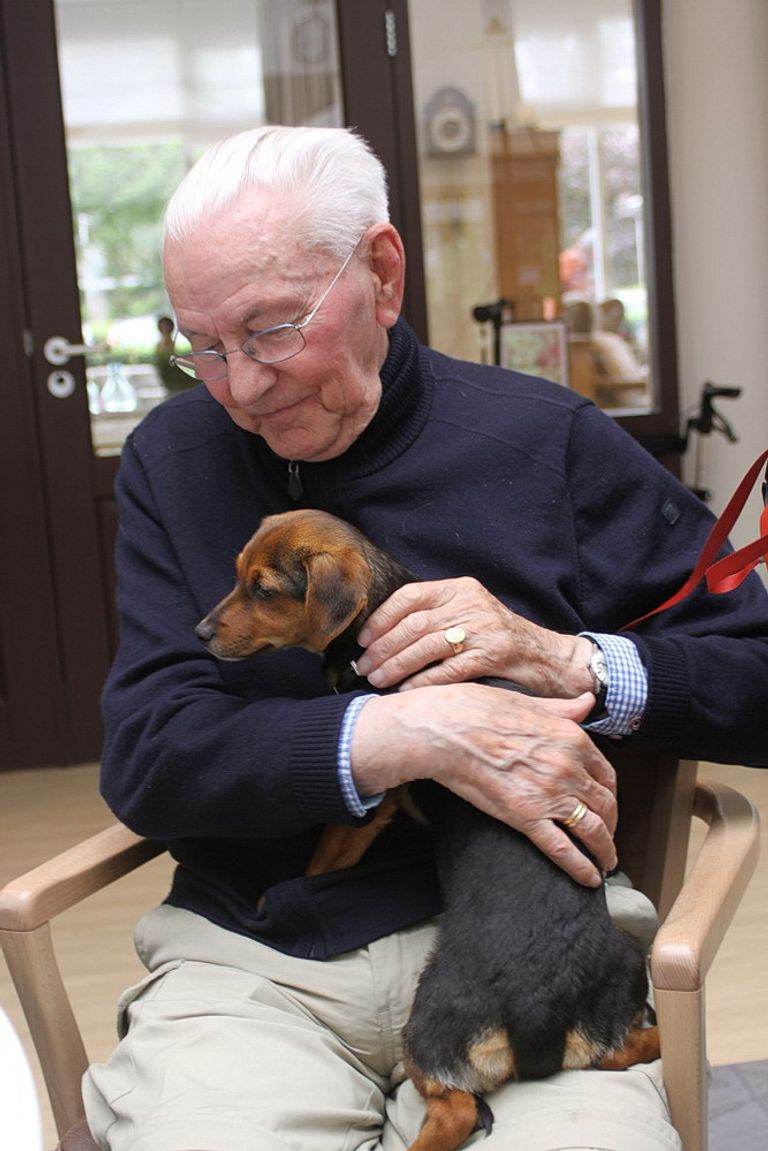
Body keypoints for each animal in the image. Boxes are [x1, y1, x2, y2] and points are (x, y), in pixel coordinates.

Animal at [196, 511, 663, 1151]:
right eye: (237, 574)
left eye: (263, 589)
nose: (199, 632)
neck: (376, 613)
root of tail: (539, 1010)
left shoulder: (374, 803)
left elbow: (325, 855)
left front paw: (290, 891)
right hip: (618, 992)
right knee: (631, 1046)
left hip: (434, 1029)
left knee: (455, 1110)